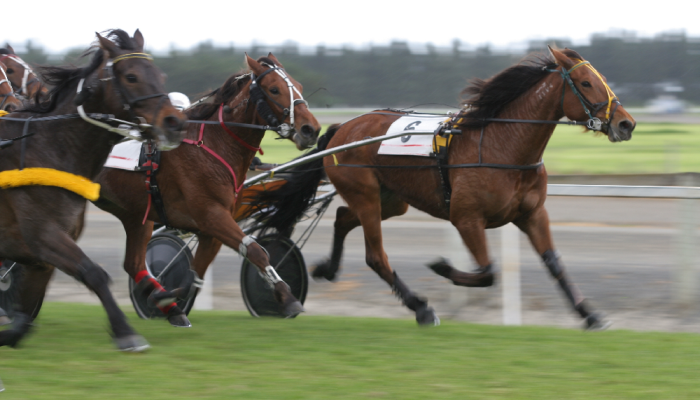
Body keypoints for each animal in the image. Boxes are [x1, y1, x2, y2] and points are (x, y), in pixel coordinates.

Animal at [0, 29, 186, 350]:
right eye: (132, 77)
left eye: (160, 75)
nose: (173, 122)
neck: (46, 147)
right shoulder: (43, 234)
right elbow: (94, 273)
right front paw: (126, 332)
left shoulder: (40, 253)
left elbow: (24, 315)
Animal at [91, 53, 322, 326]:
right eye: (274, 89)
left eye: (299, 86)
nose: (311, 129)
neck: (213, 144)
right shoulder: (212, 215)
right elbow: (256, 250)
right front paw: (287, 297)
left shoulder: (211, 227)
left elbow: (196, 274)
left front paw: (167, 299)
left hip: (137, 216)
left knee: (134, 263)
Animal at [250, 47, 636, 328]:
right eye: (585, 83)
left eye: (600, 80)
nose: (626, 123)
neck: (502, 145)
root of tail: (342, 128)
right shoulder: (466, 218)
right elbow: (488, 271)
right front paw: (442, 267)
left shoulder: (532, 214)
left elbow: (554, 263)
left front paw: (590, 315)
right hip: (366, 193)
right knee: (376, 255)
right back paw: (420, 307)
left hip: (391, 199)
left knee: (345, 217)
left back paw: (327, 268)